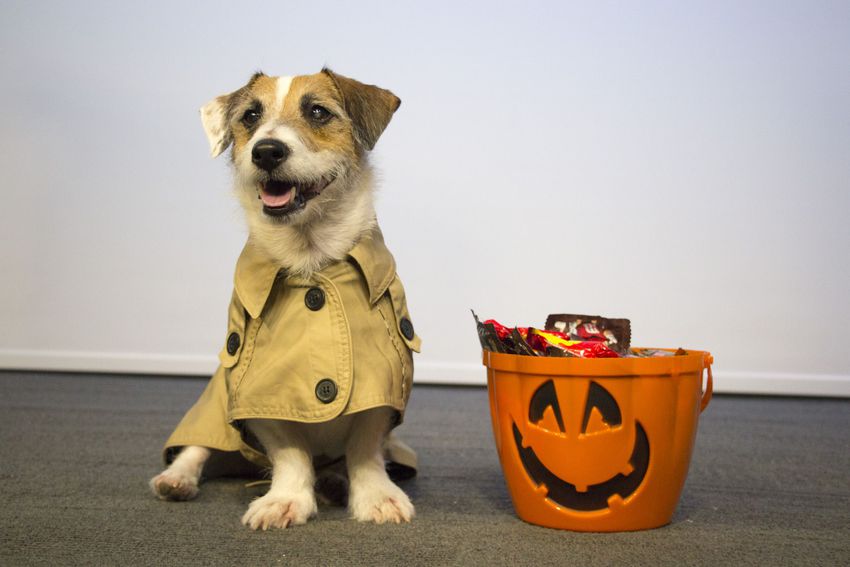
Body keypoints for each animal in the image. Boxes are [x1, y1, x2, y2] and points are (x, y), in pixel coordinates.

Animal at [152, 69, 420, 532]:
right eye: (250, 116)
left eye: (318, 112)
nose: (266, 151)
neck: (310, 260)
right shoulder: (254, 397)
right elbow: (291, 452)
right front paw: (286, 500)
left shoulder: (382, 391)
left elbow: (365, 450)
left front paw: (376, 497)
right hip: (213, 404)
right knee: (196, 448)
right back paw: (177, 479)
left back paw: (333, 481)